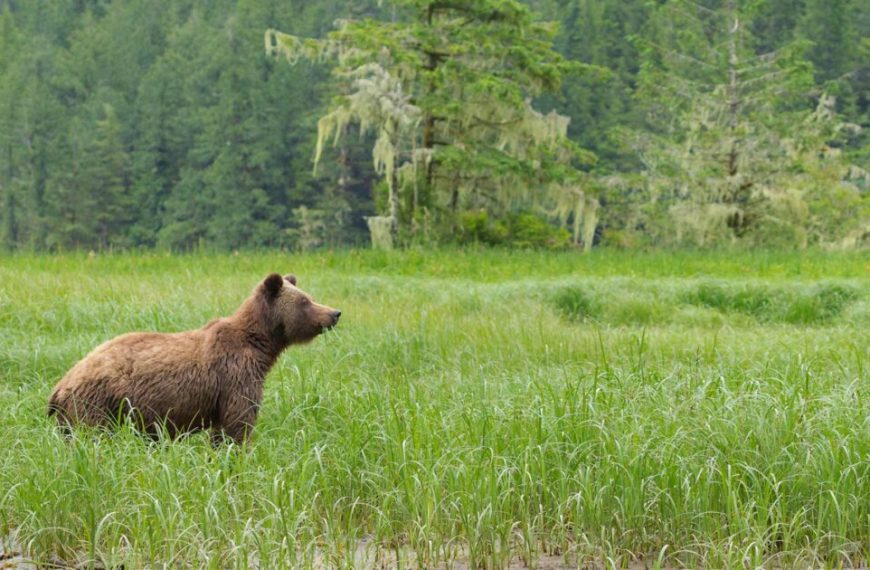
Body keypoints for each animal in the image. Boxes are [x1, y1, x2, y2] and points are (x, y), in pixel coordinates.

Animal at [47, 273, 340, 444]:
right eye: (305, 302)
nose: (335, 313)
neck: (262, 345)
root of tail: (60, 385)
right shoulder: (234, 376)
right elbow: (237, 424)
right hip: (96, 403)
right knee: (92, 438)